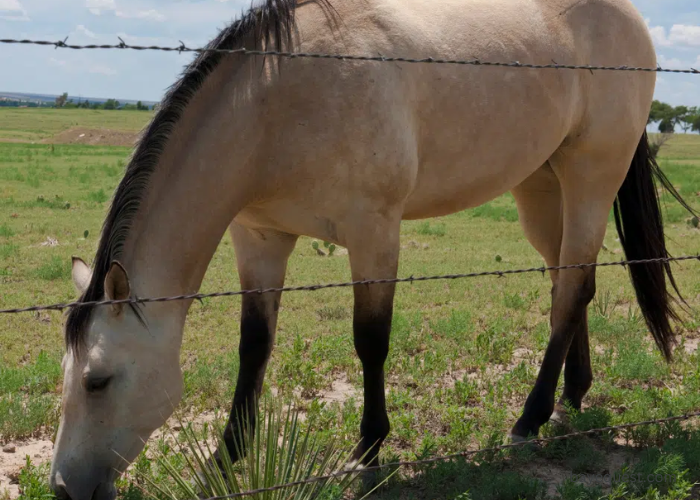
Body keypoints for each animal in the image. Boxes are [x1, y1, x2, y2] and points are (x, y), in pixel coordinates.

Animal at [47, 1, 696, 498]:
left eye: (98, 381)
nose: (62, 487)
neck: (279, 102)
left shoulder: (374, 232)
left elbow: (371, 341)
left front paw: (368, 449)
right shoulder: (259, 238)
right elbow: (254, 346)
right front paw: (228, 456)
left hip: (591, 177)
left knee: (571, 288)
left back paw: (529, 418)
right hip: (540, 186)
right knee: (570, 281)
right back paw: (572, 393)